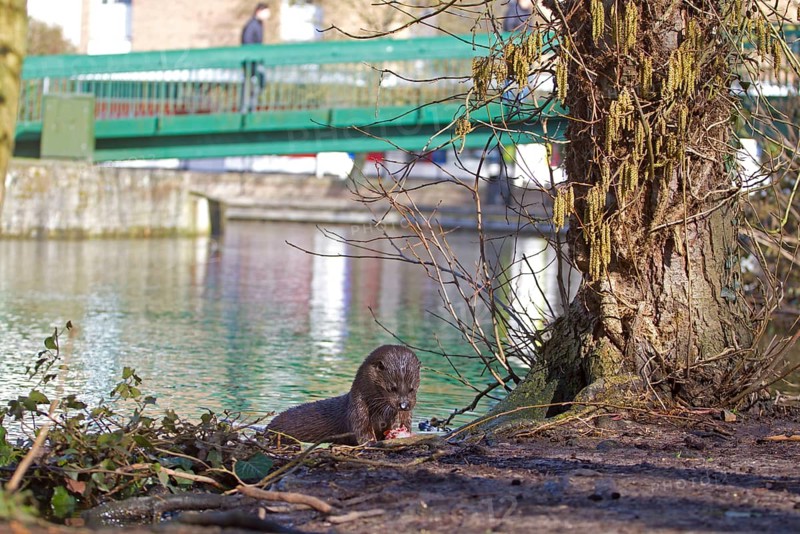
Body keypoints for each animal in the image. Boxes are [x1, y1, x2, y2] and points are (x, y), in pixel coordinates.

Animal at [266, 345, 420, 445]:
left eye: (412, 388)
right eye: (392, 388)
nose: (404, 405)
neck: (380, 415)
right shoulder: (357, 411)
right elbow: (361, 433)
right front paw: (371, 442)